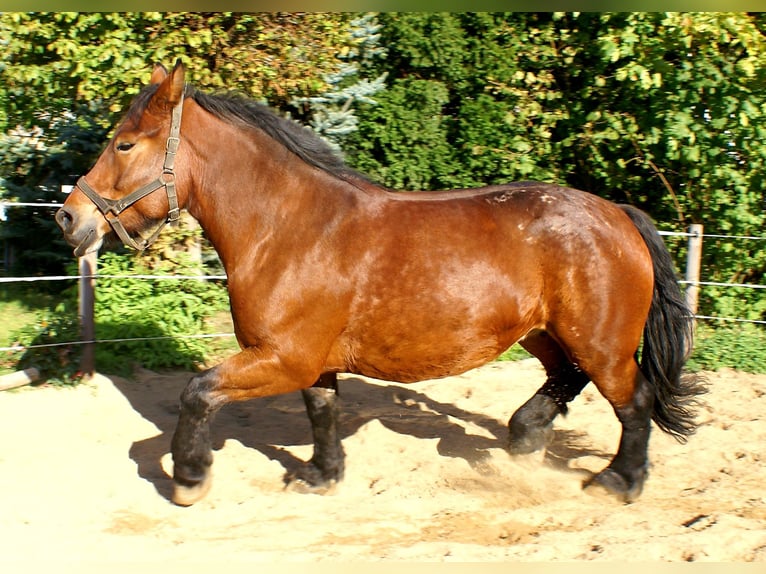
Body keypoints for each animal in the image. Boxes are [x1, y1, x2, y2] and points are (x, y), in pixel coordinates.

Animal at [56, 60, 705, 506]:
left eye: (124, 143)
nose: (69, 218)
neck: (289, 229)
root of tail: (619, 214)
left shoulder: (281, 356)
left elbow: (197, 392)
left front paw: (190, 476)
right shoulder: (308, 362)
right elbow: (321, 411)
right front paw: (321, 475)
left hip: (601, 342)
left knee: (633, 401)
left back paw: (619, 481)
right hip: (545, 333)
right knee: (566, 379)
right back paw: (524, 440)